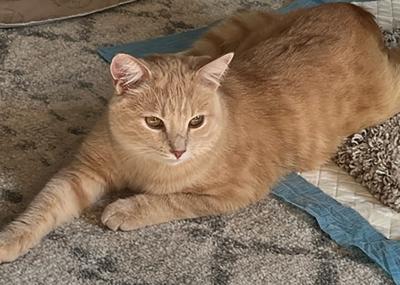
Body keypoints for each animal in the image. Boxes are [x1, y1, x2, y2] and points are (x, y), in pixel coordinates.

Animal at [0, 3, 400, 262]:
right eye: (154, 122)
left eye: (196, 122)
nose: (179, 150)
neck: (144, 163)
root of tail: (356, 11)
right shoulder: (82, 172)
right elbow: (44, 206)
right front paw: (10, 239)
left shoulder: (234, 192)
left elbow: (172, 200)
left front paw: (126, 209)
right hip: (232, 29)